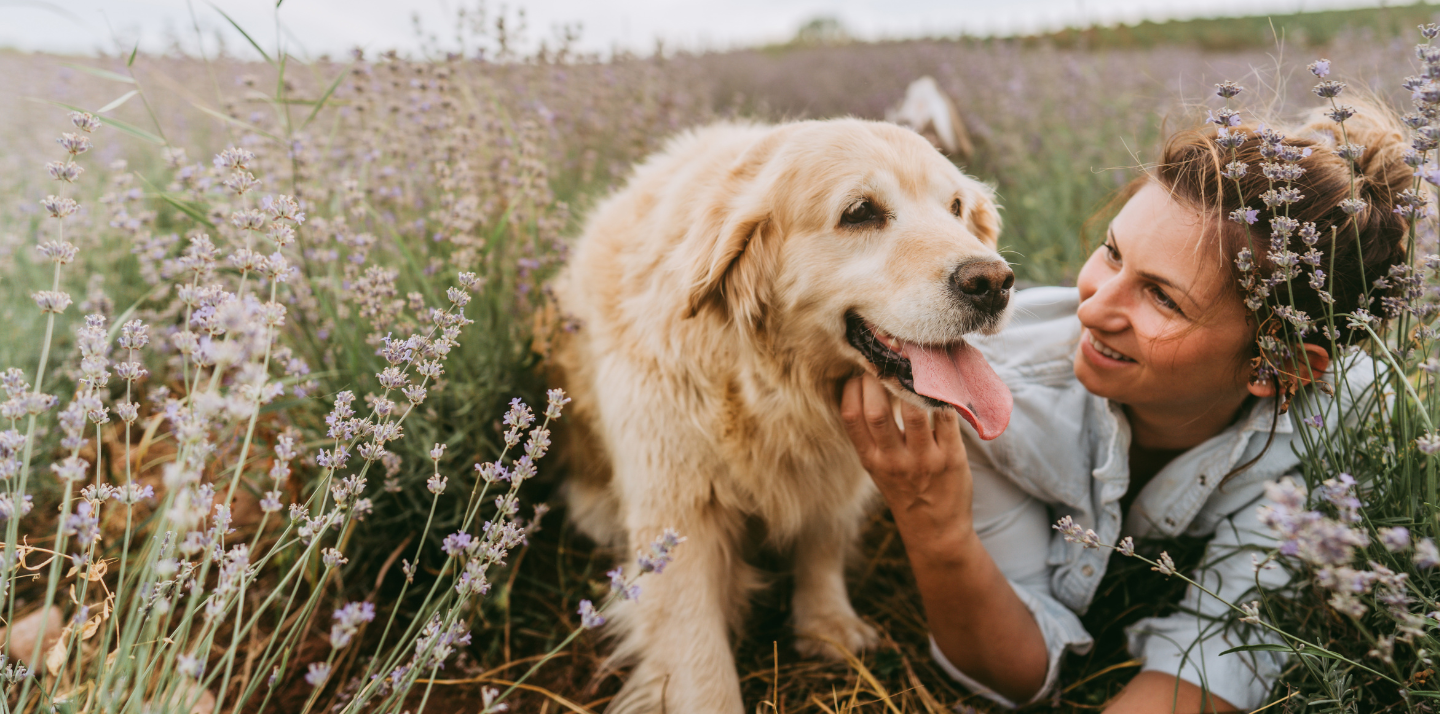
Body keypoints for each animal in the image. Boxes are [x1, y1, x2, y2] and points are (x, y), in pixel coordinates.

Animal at [547, 118, 1013, 714]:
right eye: (860, 212)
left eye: (955, 206)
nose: (994, 282)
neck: (773, 383)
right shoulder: (678, 511)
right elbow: (698, 648)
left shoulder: (835, 470)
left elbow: (823, 540)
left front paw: (827, 624)